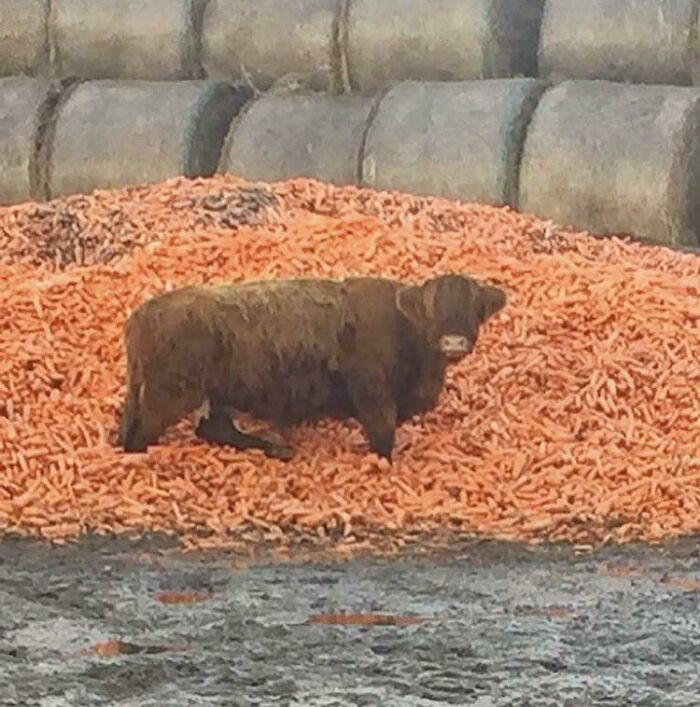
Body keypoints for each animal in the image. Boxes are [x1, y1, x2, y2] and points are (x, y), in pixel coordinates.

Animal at [117, 274, 506, 462]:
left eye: (474, 309)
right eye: (431, 309)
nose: (453, 342)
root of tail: (144, 313)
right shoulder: (374, 397)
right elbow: (383, 437)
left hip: (217, 394)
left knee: (215, 428)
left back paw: (277, 450)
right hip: (169, 395)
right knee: (142, 435)